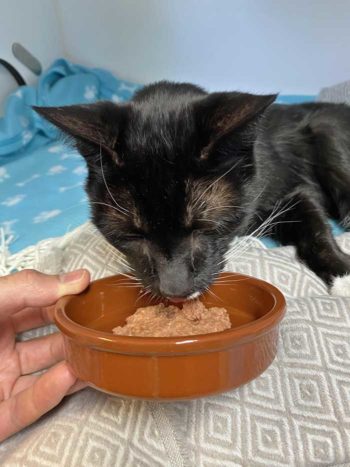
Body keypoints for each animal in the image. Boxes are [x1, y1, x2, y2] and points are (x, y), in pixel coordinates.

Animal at [34, 81, 350, 298]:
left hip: (326, 128)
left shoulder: (292, 188)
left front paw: (343, 275)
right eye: (131, 235)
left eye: (204, 226)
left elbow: (316, 231)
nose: (175, 289)